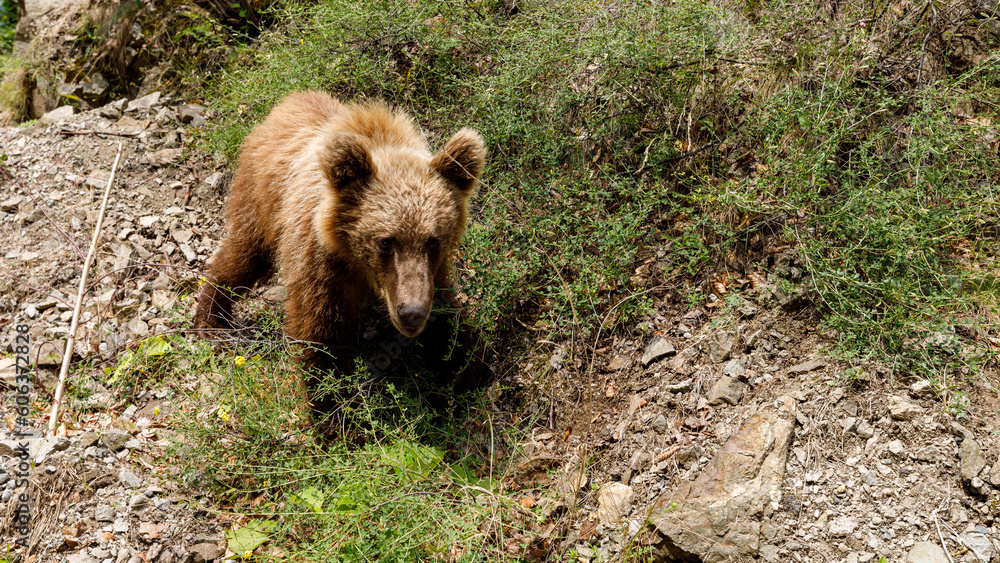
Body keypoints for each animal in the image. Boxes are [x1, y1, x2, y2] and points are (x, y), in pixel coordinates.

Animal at [193, 91, 487, 425]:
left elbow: (445, 311)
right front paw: (336, 417)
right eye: (386, 241)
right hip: (262, 200)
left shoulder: (431, 272)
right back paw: (212, 318)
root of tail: (289, 100)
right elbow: (322, 339)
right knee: (244, 256)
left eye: (434, 240)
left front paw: (465, 367)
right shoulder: (323, 266)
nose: (411, 312)